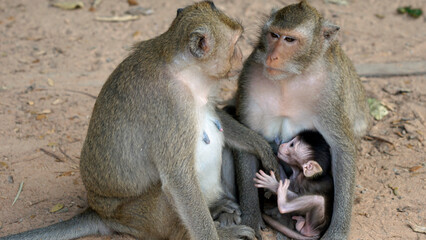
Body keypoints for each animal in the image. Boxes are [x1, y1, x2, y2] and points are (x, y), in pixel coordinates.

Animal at [0, 1, 280, 240]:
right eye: (235, 43)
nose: (241, 55)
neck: (185, 71)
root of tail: (98, 211)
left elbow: (219, 116)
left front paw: (260, 147)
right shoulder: (169, 107)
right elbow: (178, 180)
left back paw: (220, 205)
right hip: (139, 216)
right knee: (166, 194)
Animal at [235, 0, 372, 239]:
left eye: (289, 40)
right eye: (273, 35)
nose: (272, 56)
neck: (290, 76)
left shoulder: (329, 88)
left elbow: (342, 148)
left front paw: (337, 232)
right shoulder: (250, 72)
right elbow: (249, 138)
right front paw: (251, 216)